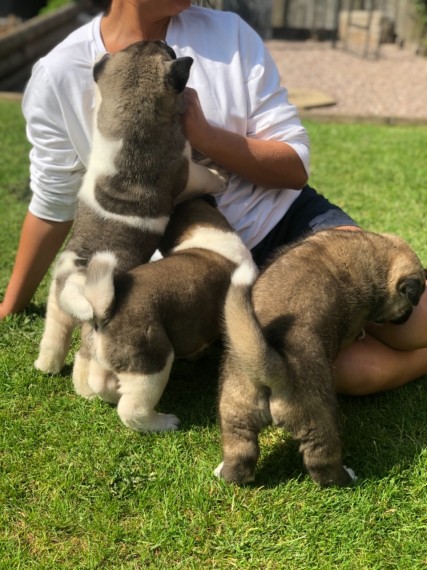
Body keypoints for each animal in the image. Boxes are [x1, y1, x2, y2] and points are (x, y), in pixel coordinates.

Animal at [35, 42, 226, 374]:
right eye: (166, 51)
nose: (163, 41)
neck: (130, 115)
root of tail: (76, 276)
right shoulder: (185, 172)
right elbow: (203, 176)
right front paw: (220, 177)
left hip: (57, 305)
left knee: (55, 331)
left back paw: (46, 365)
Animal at [72, 195, 258, 430]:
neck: (202, 231)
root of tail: (106, 311)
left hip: (104, 357)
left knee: (99, 382)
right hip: (152, 365)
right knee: (132, 410)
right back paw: (165, 423)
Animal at [216, 229, 426, 486]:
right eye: (408, 307)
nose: (406, 319)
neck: (377, 251)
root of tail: (273, 369)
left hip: (236, 414)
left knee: (240, 454)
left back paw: (226, 473)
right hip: (319, 418)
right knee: (322, 461)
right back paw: (345, 478)